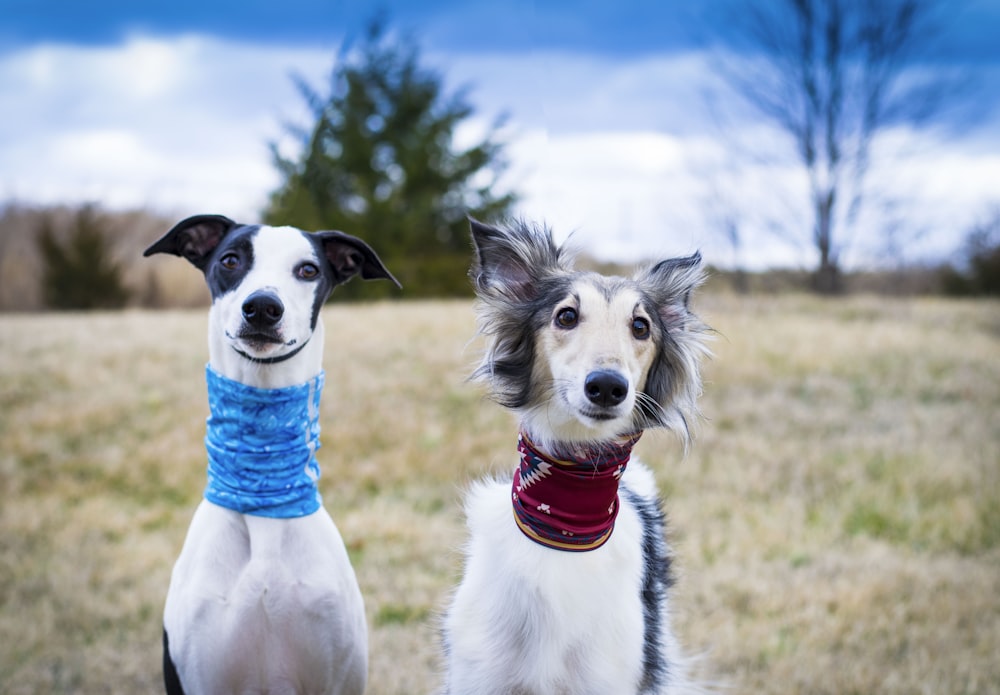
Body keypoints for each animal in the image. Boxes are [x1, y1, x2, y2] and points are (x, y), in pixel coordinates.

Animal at [146, 215, 396, 692]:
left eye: (308, 270)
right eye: (230, 260)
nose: (262, 307)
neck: (262, 511)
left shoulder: (337, 676)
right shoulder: (202, 677)